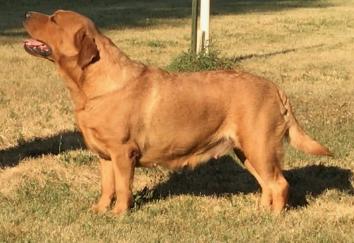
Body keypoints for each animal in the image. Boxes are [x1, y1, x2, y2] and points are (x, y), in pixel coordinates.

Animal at [22, 9, 332, 215]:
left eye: (54, 20)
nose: (26, 12)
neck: (91, 85)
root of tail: (276, 88)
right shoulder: (105, 156)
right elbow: (107, 187)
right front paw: (99, 211)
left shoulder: (123, 153)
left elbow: (122, 188)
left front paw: (120, 214)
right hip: (247, 151)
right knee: (267, 184)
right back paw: (260, 212)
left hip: (259, 146)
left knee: (279, 184)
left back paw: (275, 218)